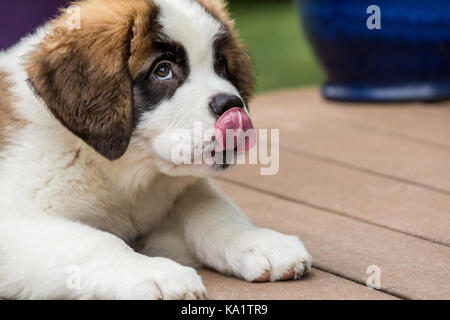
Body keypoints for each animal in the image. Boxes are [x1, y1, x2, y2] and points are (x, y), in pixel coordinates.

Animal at [0, 0, 312, 300]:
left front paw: (259, 241)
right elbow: (95, 241)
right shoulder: (14, 222)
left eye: (221, 66)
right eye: (163, 71)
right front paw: (153, 274)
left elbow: (210, 208)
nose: (232, 105)